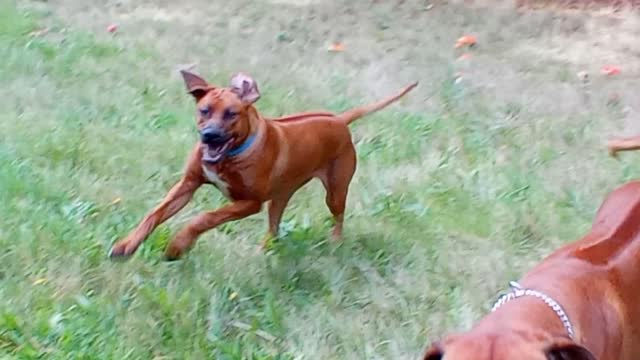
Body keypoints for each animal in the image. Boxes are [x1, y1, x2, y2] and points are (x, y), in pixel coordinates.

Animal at [107, 70, 418, 260]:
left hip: (335, 188)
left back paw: (335, 240)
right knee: (274, 227)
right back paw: (265, 250)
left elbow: (203, 217)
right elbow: (155, 214)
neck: (230, 156)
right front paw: (126, 244)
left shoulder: (249, 202)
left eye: (232, 114)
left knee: (339, 215)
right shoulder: (187, 184)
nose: (209, 136)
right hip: (280, 197)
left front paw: (177, 246)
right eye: (204, 110)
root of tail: (339, 119)